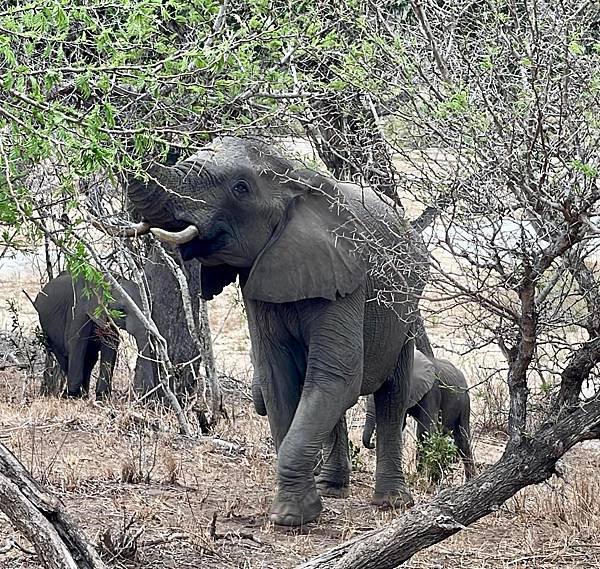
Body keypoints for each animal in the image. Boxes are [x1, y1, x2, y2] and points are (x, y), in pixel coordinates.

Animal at [125, 136, 432, 524]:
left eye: (240, 189)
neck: (295, 181)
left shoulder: (347, 277)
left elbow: (337, 374)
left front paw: (290, 519)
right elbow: (280, 378)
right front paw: (297, 513)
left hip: (405, 309)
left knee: (392, 392)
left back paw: (391, 503)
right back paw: (332, 488)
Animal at [360, 348, 474, 478]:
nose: (372, 444)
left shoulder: (432, 391)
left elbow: (425, 430)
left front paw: (421, 475)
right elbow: (400, 425)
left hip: (465, 401)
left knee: (463, 437)